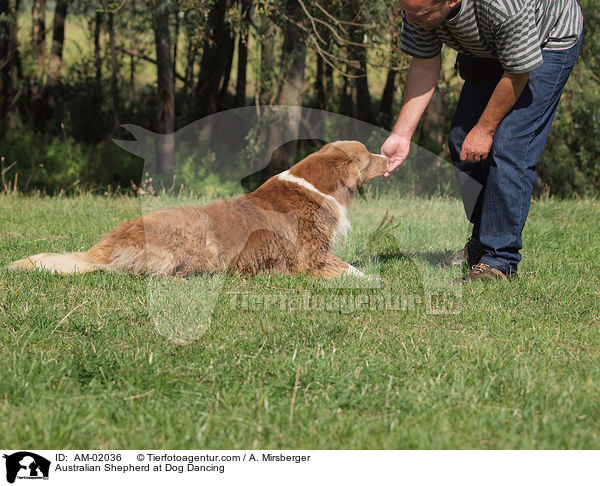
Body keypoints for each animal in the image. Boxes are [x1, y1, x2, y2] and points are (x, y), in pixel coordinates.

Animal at [9, 140, 392, 278]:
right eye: (368, 155)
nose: (389, 157)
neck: (315, 186)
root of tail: (107, 245)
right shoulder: (312, 260)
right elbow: (356, 272)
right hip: (200, 238)